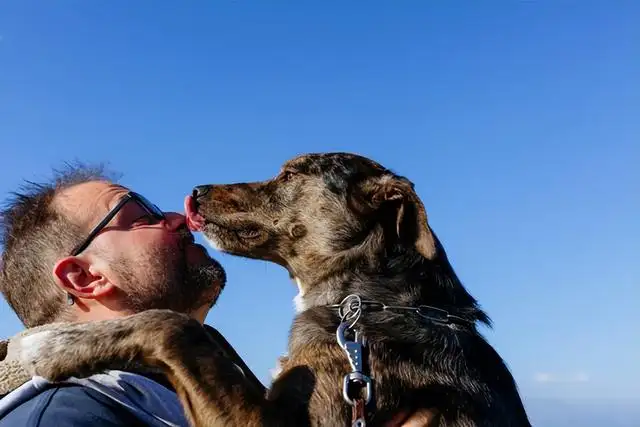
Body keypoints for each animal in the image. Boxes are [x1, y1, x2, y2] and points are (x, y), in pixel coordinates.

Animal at [13, 154, 528, 427]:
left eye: (290, 174)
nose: (196, 191)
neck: (367, 300)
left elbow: (175, 327)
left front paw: (50, 345)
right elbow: (212, 340)